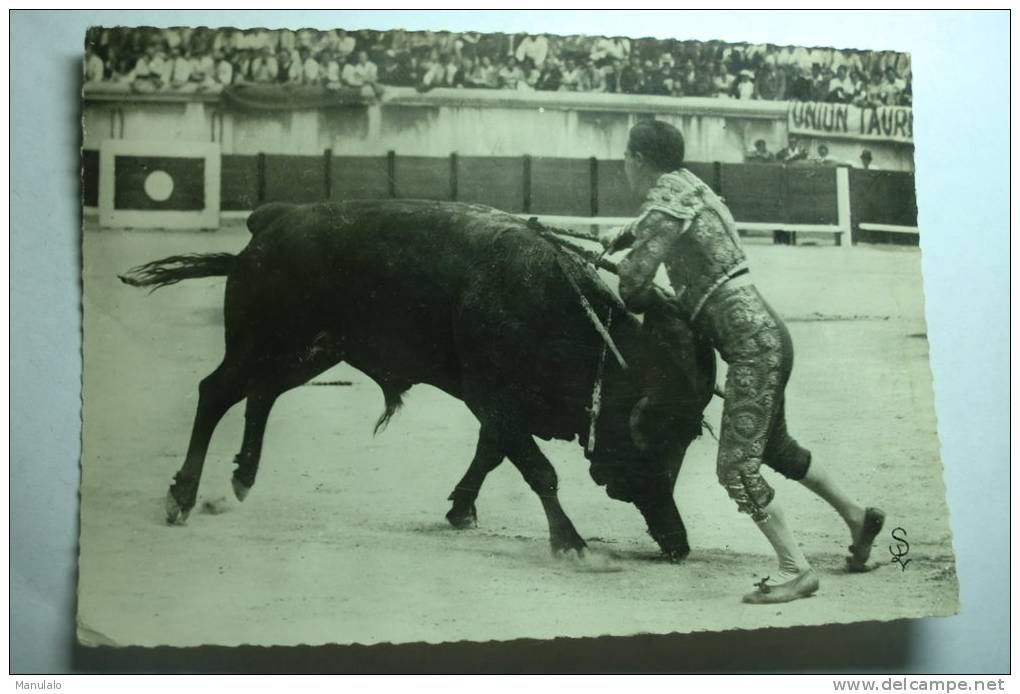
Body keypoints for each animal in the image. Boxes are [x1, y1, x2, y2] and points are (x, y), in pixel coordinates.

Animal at [121, 197, 718, 559]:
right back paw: (183, 495)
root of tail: (274, 218)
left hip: (313, 352)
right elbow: (538, 470)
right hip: (261, 342)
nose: (678, 541)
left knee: (261, 394)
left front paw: (460, 509)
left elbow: (492, 453)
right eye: (657, 440)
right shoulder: (491, 397)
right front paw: (569, 542)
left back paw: (244, 474)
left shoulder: (500, 408)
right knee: (217, 392)